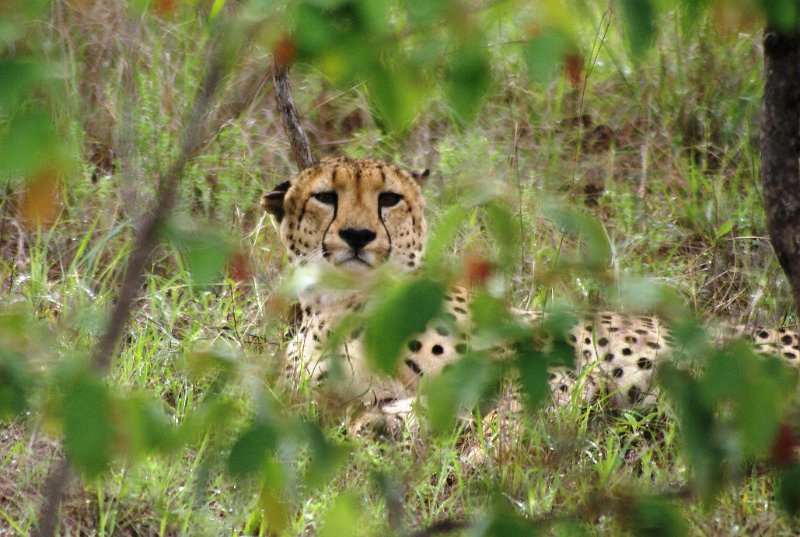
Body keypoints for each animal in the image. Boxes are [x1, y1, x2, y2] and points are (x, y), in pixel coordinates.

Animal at [261, 155, 800, 434]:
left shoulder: (561, 369)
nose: (357, 236)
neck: (345, 308)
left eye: (389, 199)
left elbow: (511, 413)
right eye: (325, 197)